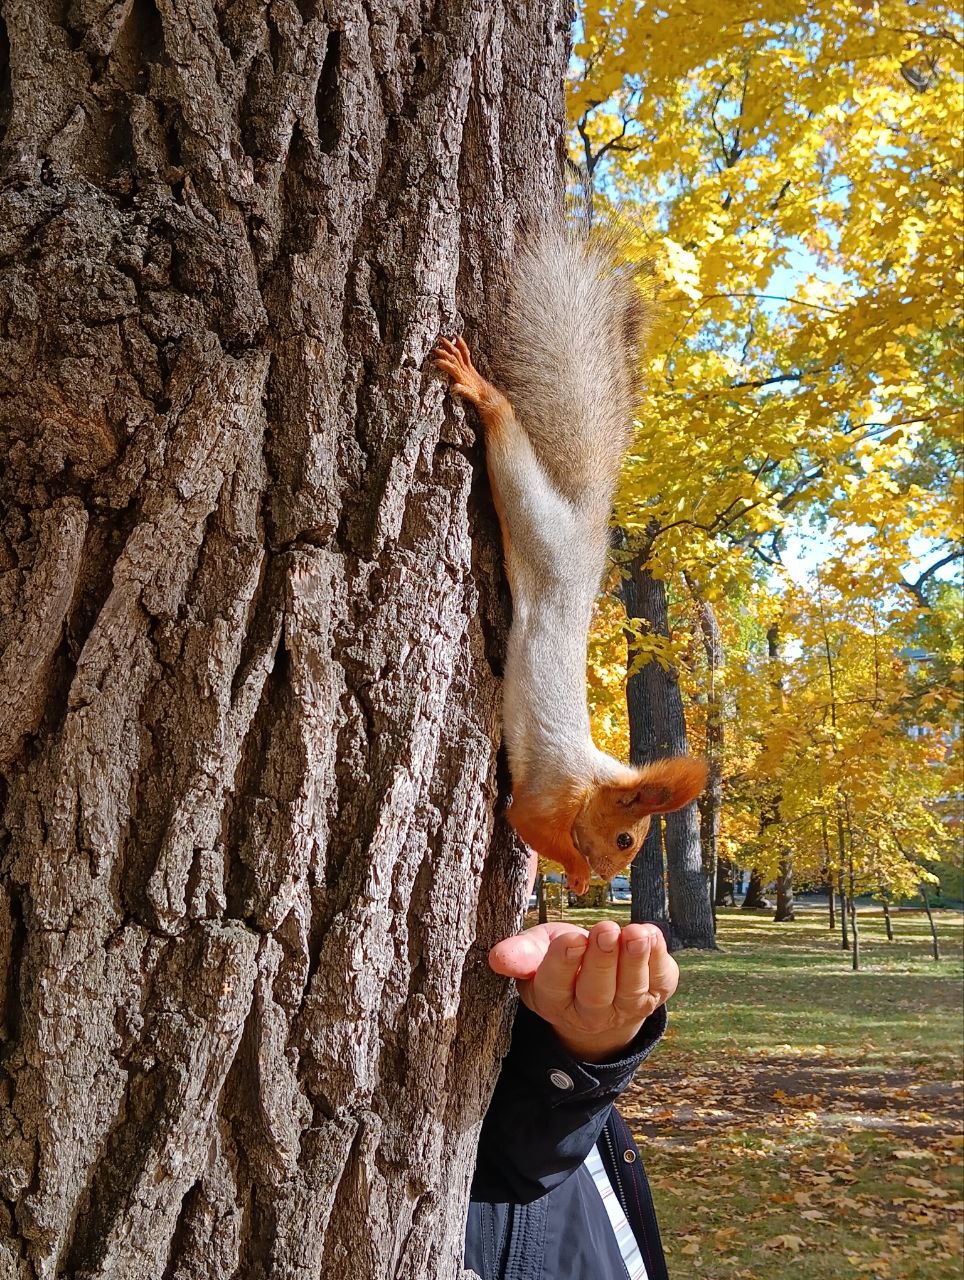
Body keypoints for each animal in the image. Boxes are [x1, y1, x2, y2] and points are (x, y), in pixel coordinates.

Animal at [434, 228, 707, 896]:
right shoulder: (549, 795)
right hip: (537, 523)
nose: (610, 878)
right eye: (627, 838)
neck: (591, 781)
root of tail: (586, 526)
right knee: (508, 446)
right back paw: (481, 392)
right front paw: (577, 873)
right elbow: (526, 822)